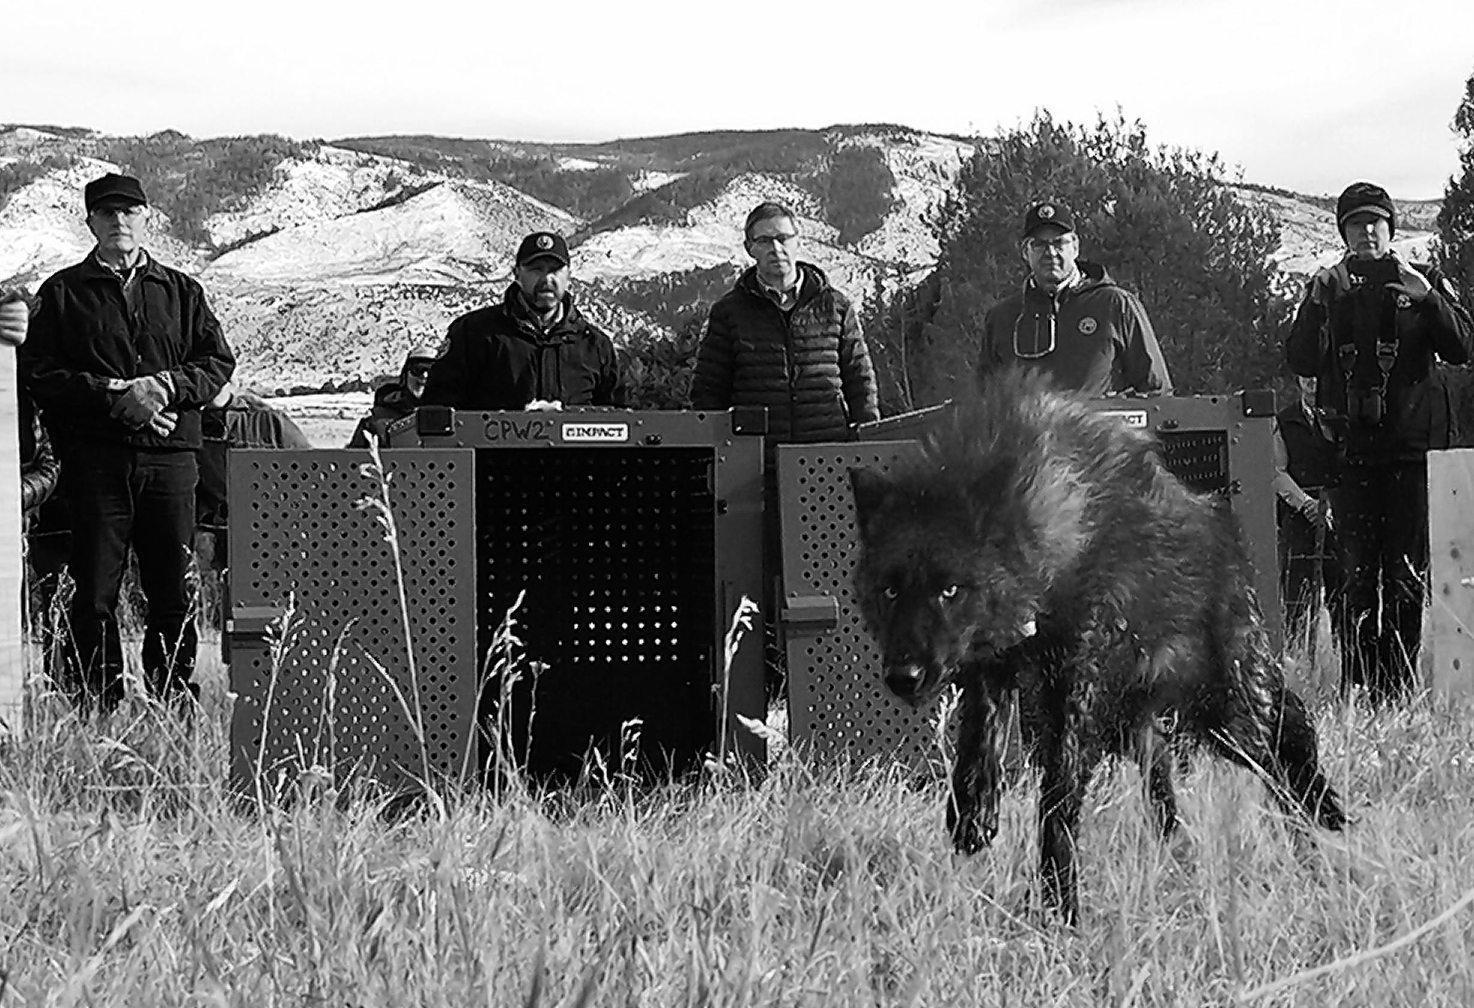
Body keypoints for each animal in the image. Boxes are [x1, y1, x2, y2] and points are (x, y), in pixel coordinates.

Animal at [849, 369, 1347, 924]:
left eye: (949, 589)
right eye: (890, 591)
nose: (903, 677)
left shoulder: (1077, 692)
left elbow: (1058, 799)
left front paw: (1060, 903)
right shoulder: (993, 671)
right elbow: (979, 745)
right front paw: (973, 816)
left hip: (1229, 716)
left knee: (1286, 756)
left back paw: (1314, 840)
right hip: (1145, 730)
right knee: (1168, 796)